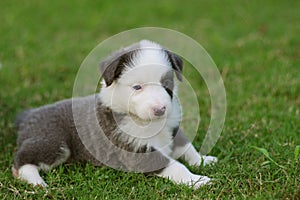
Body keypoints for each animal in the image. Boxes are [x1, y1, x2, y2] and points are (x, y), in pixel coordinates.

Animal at [12, 39, 217, 188]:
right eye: (137, 87)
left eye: (166, 84)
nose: (160, 110)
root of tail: (29, 115)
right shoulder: (135, 150)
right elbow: (175, 165)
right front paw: (197, 180)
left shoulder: (172, 128)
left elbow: (187, 147)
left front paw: (203, 161)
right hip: (53, 141)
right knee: (20, 161)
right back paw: (37, 182)